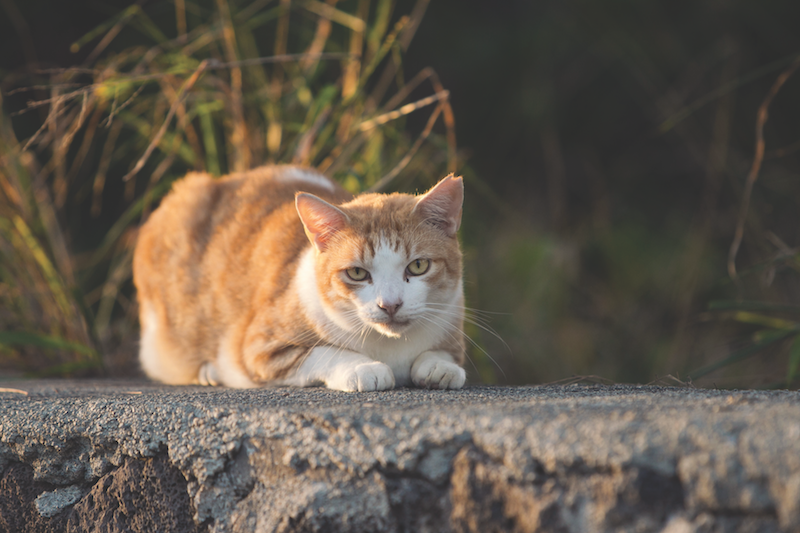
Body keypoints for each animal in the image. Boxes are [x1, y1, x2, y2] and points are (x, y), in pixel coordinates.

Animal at [133, 165, 468, 390]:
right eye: (357, 273)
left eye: (418, 266)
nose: (390, 305)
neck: (392, 347)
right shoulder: (260, 348)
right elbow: (325, 352)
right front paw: (364, 368)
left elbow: (443, 354)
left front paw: (439, 367)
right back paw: (208, 372)